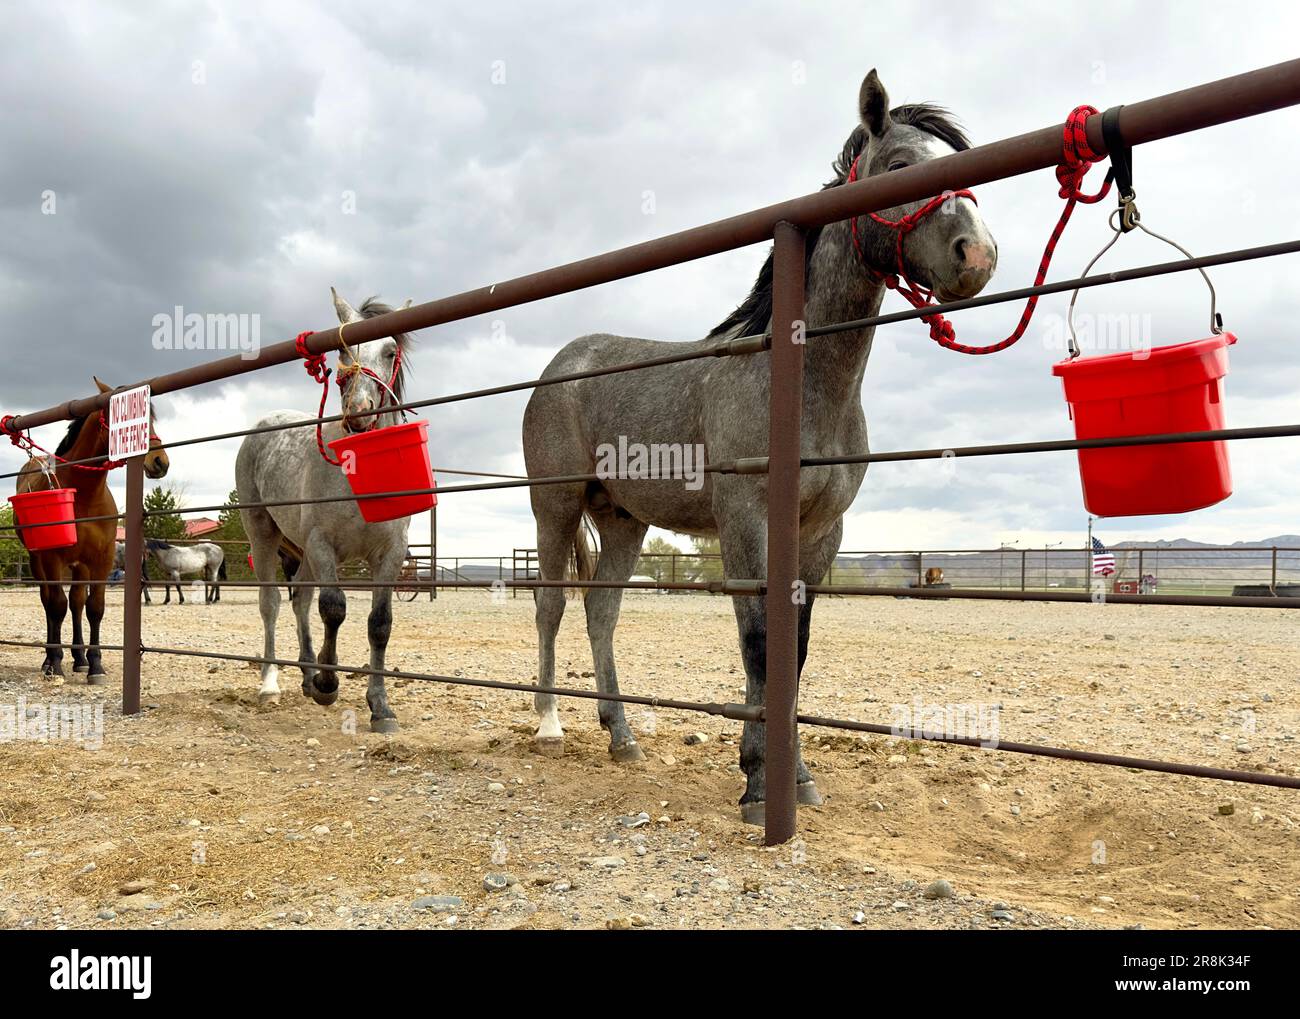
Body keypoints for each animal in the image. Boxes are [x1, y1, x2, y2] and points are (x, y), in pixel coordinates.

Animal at [14, 378, 169, 681]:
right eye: (120, 415)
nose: (159, 461)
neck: (84, 496)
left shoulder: (100, 559)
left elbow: (94, 608)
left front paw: (95, 664)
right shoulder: (53, 558)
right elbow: (57, 606)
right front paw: (55, 663)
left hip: (79, 566)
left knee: (75, 602)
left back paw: (80, 658)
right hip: (40, 562)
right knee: (50, 602)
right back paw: (50, 659)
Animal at [236, 290, 414, 732]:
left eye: (390, 350)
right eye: (341, 350)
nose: (361, 412)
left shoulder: (389, 554)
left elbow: (379, 624)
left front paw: (380, 707)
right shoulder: (323, 545)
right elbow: (333, 609)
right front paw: (327, 684)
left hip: (301, 551)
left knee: (299, 598)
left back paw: (305, 673)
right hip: (264, 535)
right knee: (272, 604)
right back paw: (271, 683)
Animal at [522, 70, 997, 824]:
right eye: (899, 163)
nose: (976, 255)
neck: (797, 382)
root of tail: (559, 367)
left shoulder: (821, 533)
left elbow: (793, 653)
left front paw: (795, 778)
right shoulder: (745, 522)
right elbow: (758, 643)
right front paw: (754, 782)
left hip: (622, 519)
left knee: (602, 613)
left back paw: (622, 736)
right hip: (557, 506)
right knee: (552, 605)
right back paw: (548, 725)